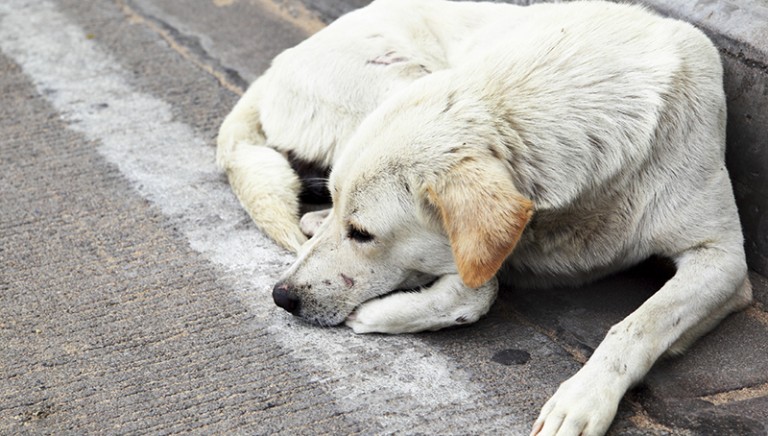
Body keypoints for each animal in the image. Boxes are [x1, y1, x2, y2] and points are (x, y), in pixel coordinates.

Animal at [216, 0, 752, 436]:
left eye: (363, 234)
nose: (281, 296)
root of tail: (275, 65)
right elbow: (481, 288)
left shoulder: (725, 259)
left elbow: (639, 325)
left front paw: (584, 397)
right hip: (396, 79)